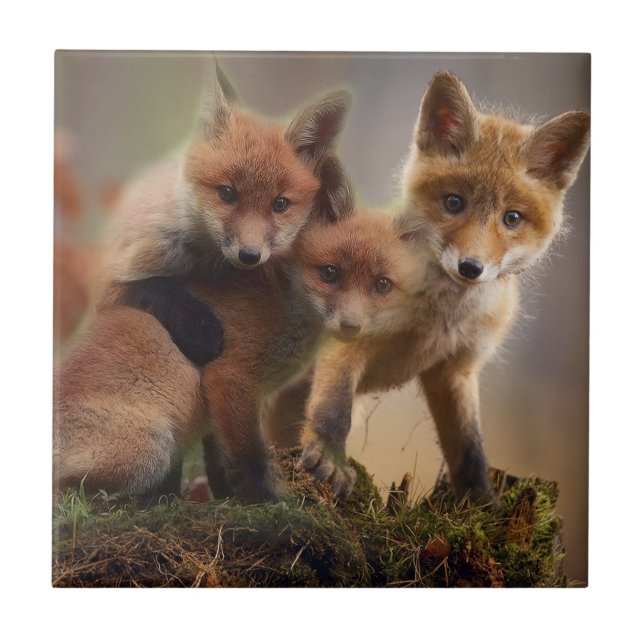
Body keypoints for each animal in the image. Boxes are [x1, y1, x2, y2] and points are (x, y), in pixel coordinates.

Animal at [54, 202, 425, 502]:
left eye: (381, 285)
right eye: (330, 273)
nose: (351, 325)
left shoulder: (221, 404)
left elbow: (221, 461)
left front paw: (230, 498)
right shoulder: (231, 377)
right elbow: (249, 458)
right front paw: (266, 504)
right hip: (152, 447)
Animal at [96, 63, 352, 366]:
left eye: (280, 204)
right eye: (227, 193)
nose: (250, 255)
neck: (204, 264)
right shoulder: (111, 282)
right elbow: (154, 286)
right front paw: (198, 328)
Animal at [264, 71, 590, 503]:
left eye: (512, 218)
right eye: (454, 203)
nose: (471, 267)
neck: (437, 319)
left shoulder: (456, 369)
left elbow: (469, 447)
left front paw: (480, 500)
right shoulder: (350, 334)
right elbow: (334, 411)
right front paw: (330, 461)